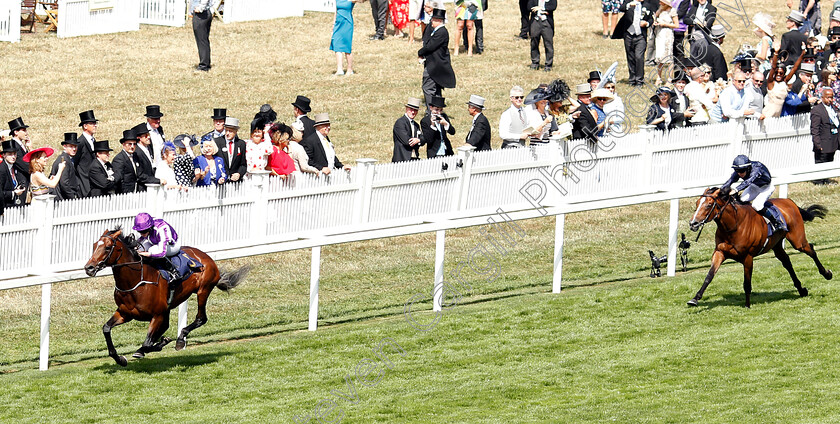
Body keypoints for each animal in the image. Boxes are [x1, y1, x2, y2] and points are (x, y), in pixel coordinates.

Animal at [83, 227, 251, 366]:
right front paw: (120, 359)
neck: (135, 281)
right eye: (94, 245)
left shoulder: (157, 314)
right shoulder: (125, 313)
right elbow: (106, 329)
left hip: (203, 290)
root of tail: (204, 256)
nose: (89, 268)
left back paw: (180, 339)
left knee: (201, 318)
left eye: (107, 247)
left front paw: (160, 343)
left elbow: (147, 343)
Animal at [684, 189, 832, 308]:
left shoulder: (748, 257)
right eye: (697, 203)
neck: (734, 225)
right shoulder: (720, 252)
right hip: (777, 245)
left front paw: (747, 305)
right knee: (787, 262)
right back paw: (801, 290)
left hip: (798, 240)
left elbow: (747, 283)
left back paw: (826, 274)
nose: (693, 223)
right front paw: (695, 299)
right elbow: (709, 276)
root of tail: (789, 201)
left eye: (709, 204)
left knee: (810, 250)